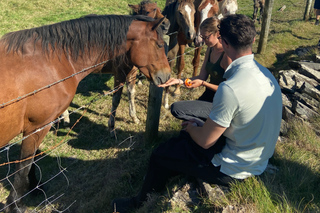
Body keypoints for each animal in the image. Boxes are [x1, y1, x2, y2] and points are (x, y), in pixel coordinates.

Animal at [0, 14, 170, 212]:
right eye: (159, 45)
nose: (167, 76)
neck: (51, 61)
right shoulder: (38, 127)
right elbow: (24, 167)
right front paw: (16, 205)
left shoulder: (34, 128)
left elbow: (30, 161)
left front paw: (34, 186)